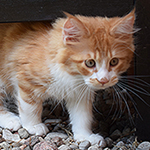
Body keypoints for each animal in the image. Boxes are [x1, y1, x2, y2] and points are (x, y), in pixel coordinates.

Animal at [0, 9, 135, 147]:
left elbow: (82, 117)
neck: (71, 75)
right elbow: (30, 107)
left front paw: (85, 136)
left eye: (114, 61)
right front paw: (33, 125)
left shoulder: (80, 94)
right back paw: (11, 120)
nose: (103, 80)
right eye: (90, 63)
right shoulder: (27, 80)